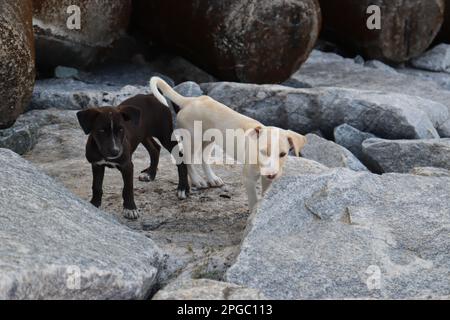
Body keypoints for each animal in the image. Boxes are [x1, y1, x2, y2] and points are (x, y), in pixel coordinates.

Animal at [149, 77, 308, 211]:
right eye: (262, 151)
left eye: (283, 154)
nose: (272, 174)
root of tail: (189, 101)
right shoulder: (248, 178)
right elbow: (253, 199)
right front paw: (253, 214)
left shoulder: (268, 178)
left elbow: (265, 194)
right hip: (192, 138)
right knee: (187, 159)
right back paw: (197, 180)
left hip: (209, 140)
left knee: (203, 157)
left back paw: (212, 178)